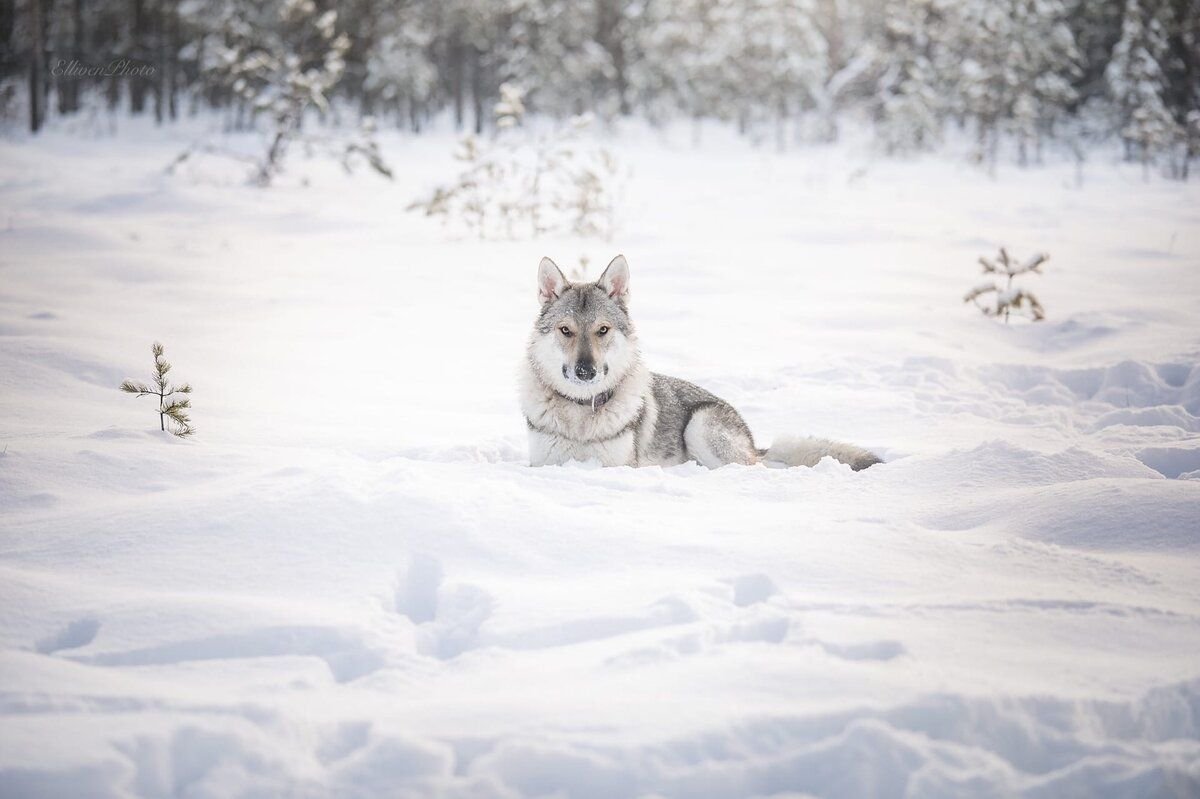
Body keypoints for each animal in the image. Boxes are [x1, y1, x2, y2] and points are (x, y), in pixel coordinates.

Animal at [516, 251, 883, 470]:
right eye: (566, 330)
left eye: (602, 330)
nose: (585, 371)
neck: (581, 415)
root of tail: (753, 441)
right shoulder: (543, 463)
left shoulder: (620, 466)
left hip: (700, 428)